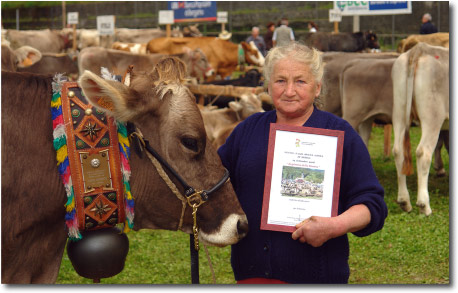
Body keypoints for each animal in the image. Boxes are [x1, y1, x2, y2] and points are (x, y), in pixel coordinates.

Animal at [392, 41, 450, 214]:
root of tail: (420, 49)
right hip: (432, 116)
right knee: (423, 152)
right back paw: (424, 205)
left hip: (399, 111)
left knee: (398, 151)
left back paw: (404, 201)